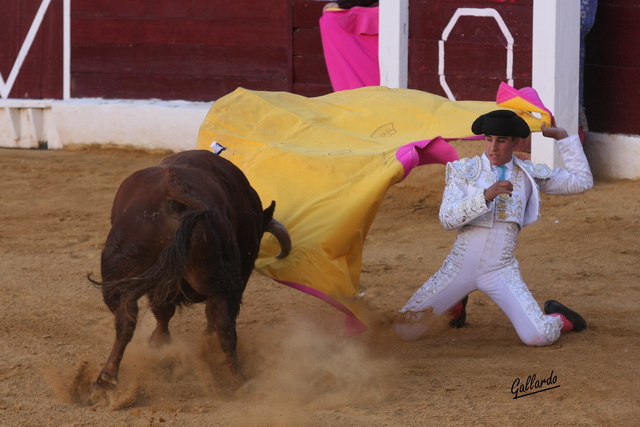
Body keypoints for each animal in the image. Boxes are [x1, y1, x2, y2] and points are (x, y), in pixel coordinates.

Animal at [89, 149, 292, 400]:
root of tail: (173, 190)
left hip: (118, 275)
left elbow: (162, 311)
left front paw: (159, 344)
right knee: (223, 326)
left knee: (125, 320)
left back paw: (106, 380)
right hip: (219, 280)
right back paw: (237, 380)